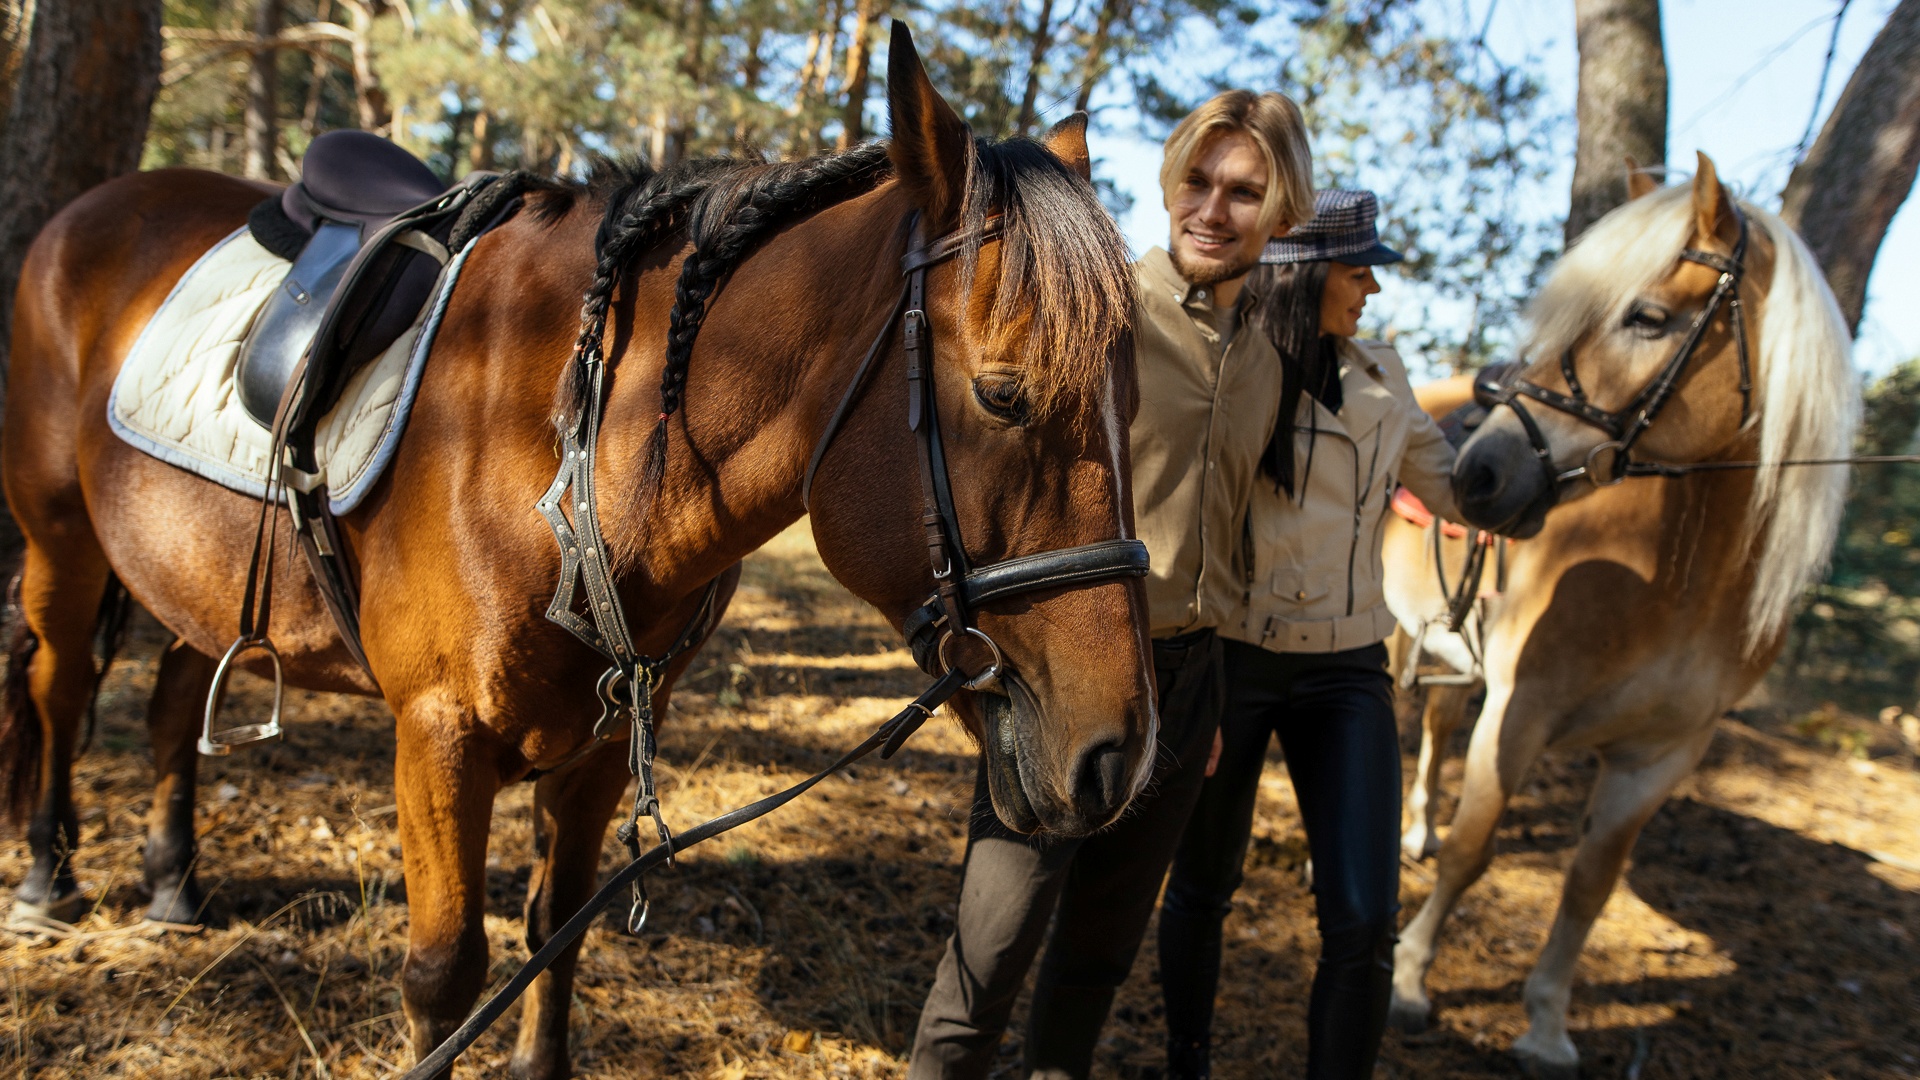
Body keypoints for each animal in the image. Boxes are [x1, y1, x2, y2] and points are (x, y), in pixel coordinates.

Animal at [0, 27, 1152, 1076]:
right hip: (62, 543)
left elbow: (557, 934)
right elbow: (445, 976)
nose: (1121, 757)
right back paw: (49, 879)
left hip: (192, 573)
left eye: (1134, 404)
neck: (563, 452)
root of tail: (89, 212)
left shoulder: (606, 743)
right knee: (57, 687)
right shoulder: (438, 739)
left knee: (166, 706)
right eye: (1003, 396)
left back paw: (171, 882)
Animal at [1382, 155, 1858, 1068]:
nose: (1478, 473)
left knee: (1437, 728)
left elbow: (1590, 885)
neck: (1677, 580)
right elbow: (1472, 851)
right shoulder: (1522, 712)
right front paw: (1409, 979)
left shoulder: (1660, 756)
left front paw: (1546, 1023)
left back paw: (1415, 825)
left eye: (1648, 318)